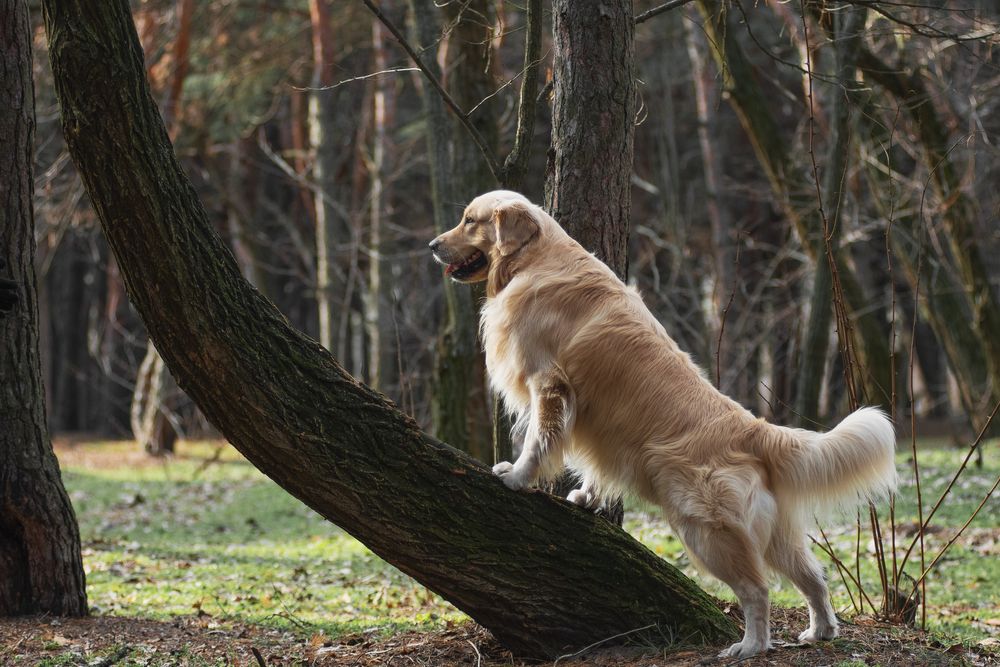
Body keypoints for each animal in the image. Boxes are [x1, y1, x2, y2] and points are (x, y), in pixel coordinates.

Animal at [430, 190, 900, 660]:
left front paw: (516, 476)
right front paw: (585, 496)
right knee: (813, 577)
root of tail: (754, 429)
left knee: (757, 590)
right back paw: (820, 630)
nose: (433, 245)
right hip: (773, 534)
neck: (535, 258)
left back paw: (749, 645)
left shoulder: (550, 383)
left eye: (469, 221)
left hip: (704, 529)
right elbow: (592, 462)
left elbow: (539, 439)